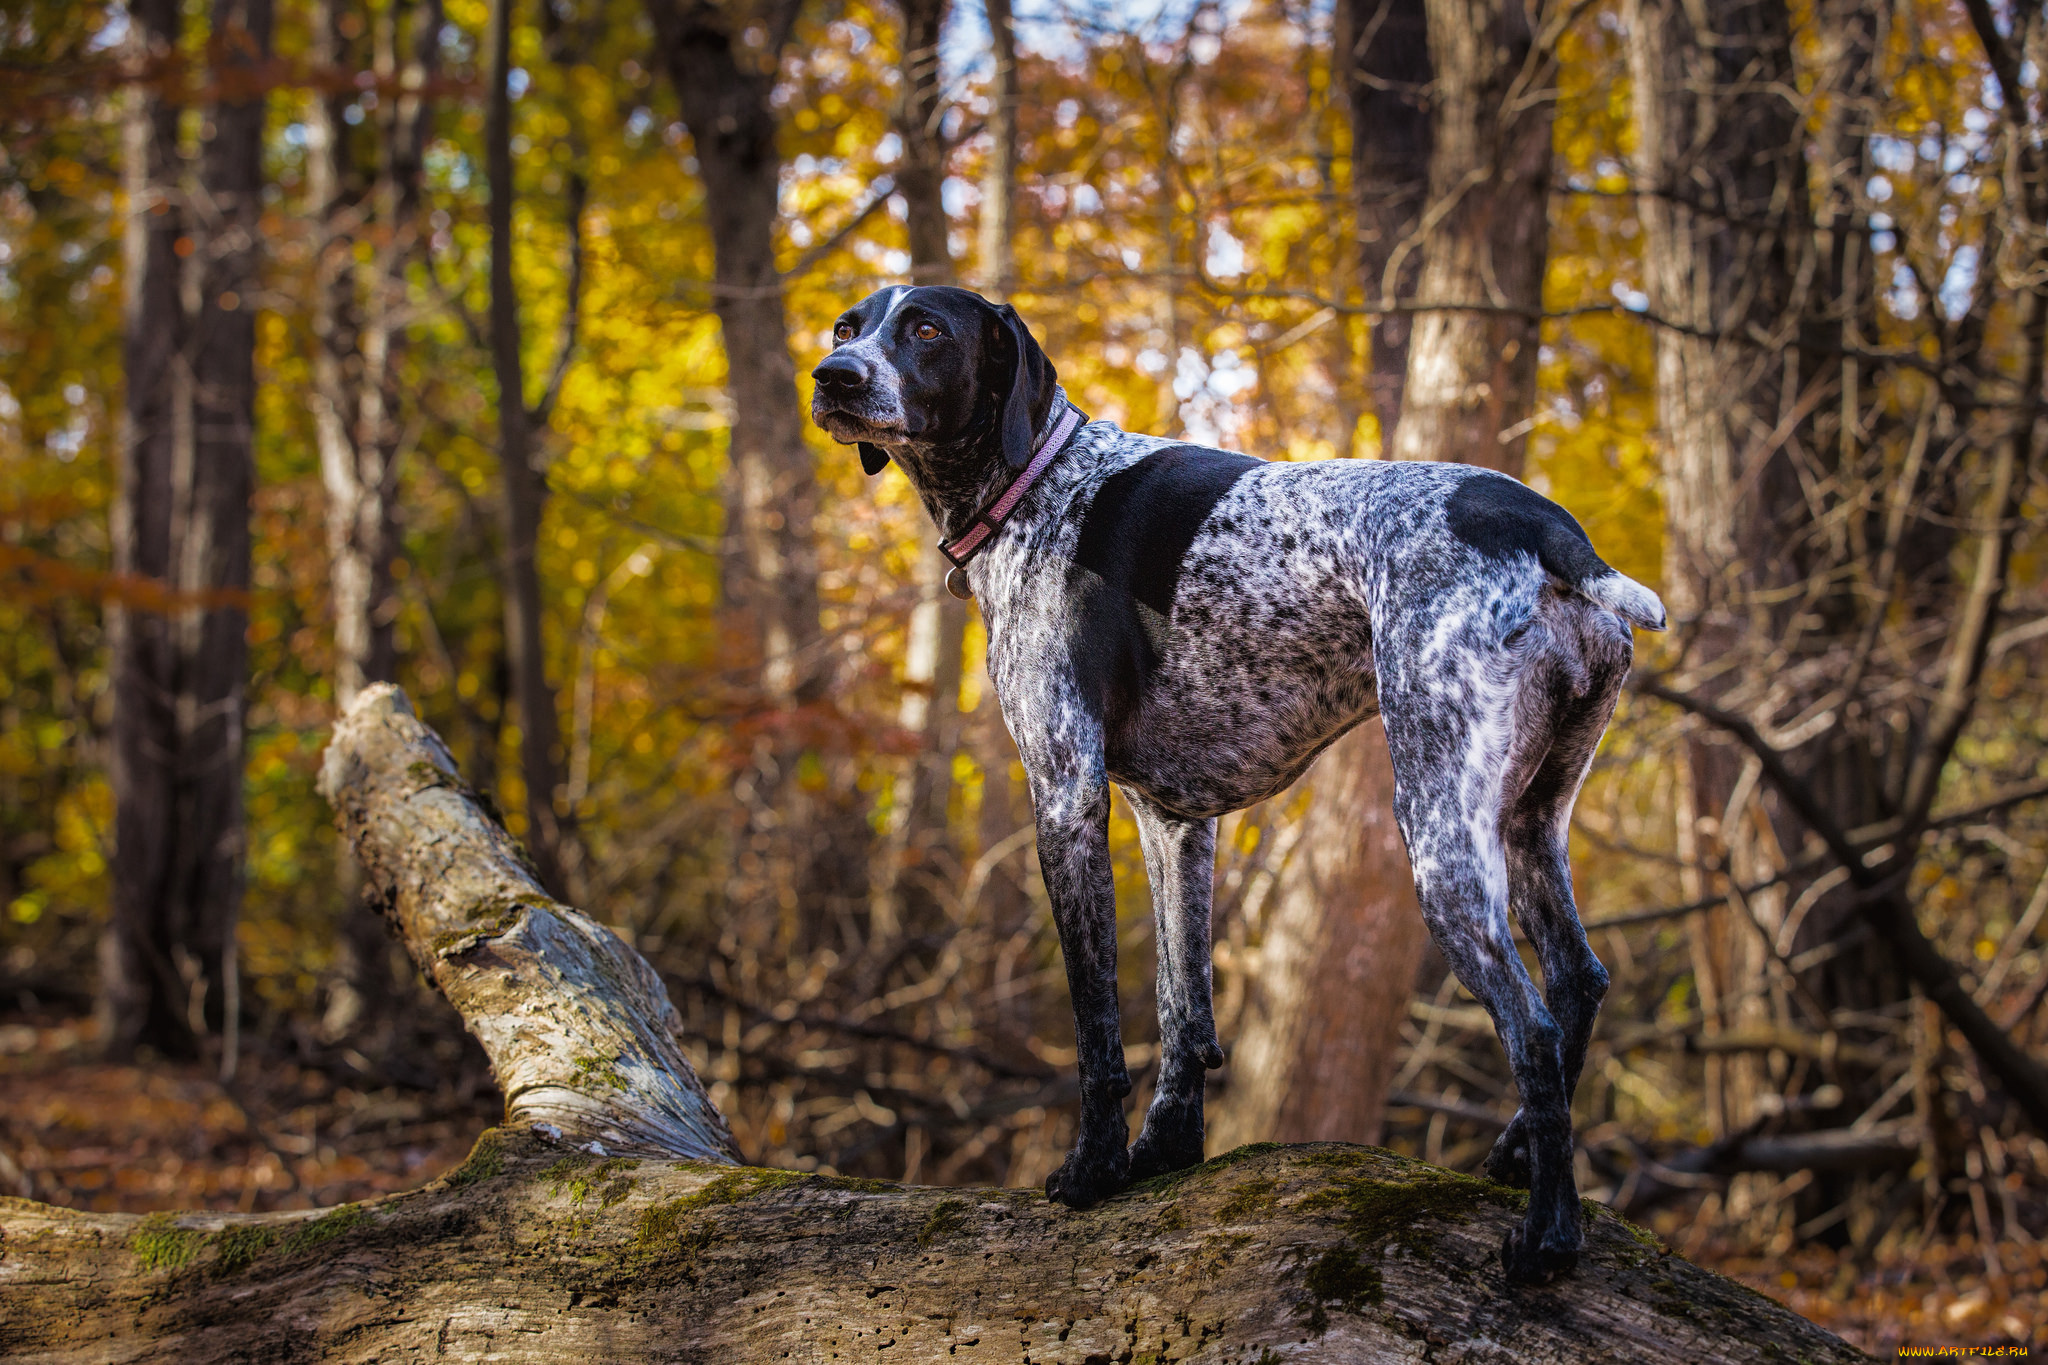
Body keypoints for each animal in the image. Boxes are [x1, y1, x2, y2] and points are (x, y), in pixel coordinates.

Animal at [802, 282, 1662, 1285]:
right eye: (846, 327)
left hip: (1441, 838)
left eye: (927, 330)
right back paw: (1521, 1154)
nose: (832, 375)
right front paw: (1165, 1152)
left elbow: (1098, 1021)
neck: (1039, 481)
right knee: (1578, 982)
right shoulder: (1173, 821)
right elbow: (1183, 1009)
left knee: (1532, 1028)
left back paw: (1548, 1234)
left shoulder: (1065, 793)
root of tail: (1550, 530)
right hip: (1528, 821)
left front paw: (1095, 1168)